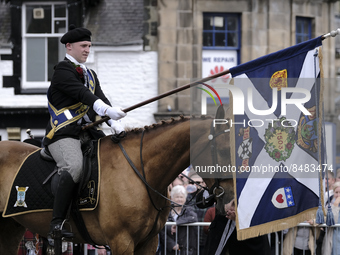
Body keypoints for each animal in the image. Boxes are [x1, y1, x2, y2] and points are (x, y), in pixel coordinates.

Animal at [0, 112, 231, 254]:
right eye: (223, 151)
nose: (230, 203)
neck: (141, 170)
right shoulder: (122, 241)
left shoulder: (148, 242)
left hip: (11, 228)